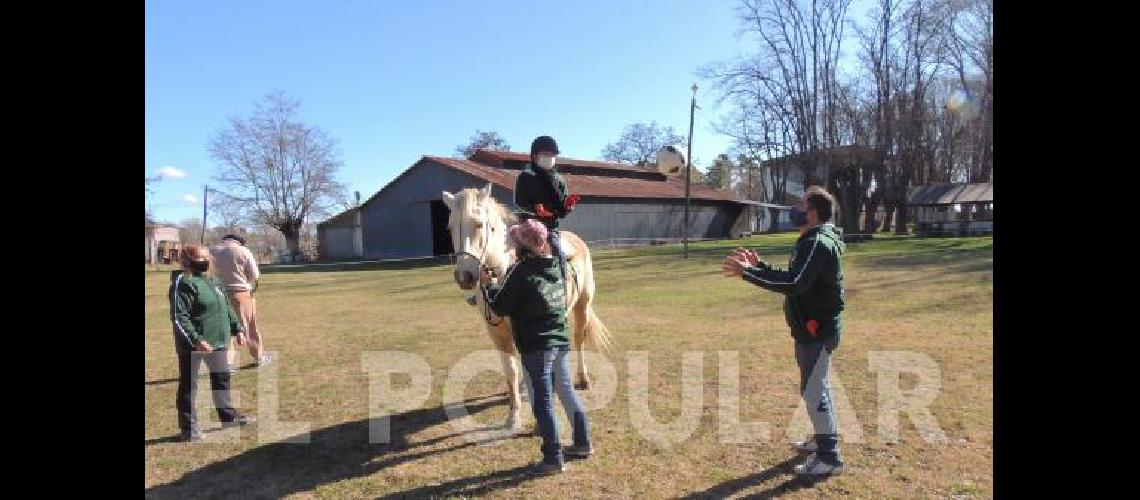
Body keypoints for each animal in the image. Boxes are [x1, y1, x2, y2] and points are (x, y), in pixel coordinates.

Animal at [442, 183, 615, 430]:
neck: (505, 271)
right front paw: (513, 416)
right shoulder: (497, 332)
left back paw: (583, 379)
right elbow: (511, 371)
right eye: (450, 227)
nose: (464, 276)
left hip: (582, 305)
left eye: (479, 224)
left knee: (579, 340)